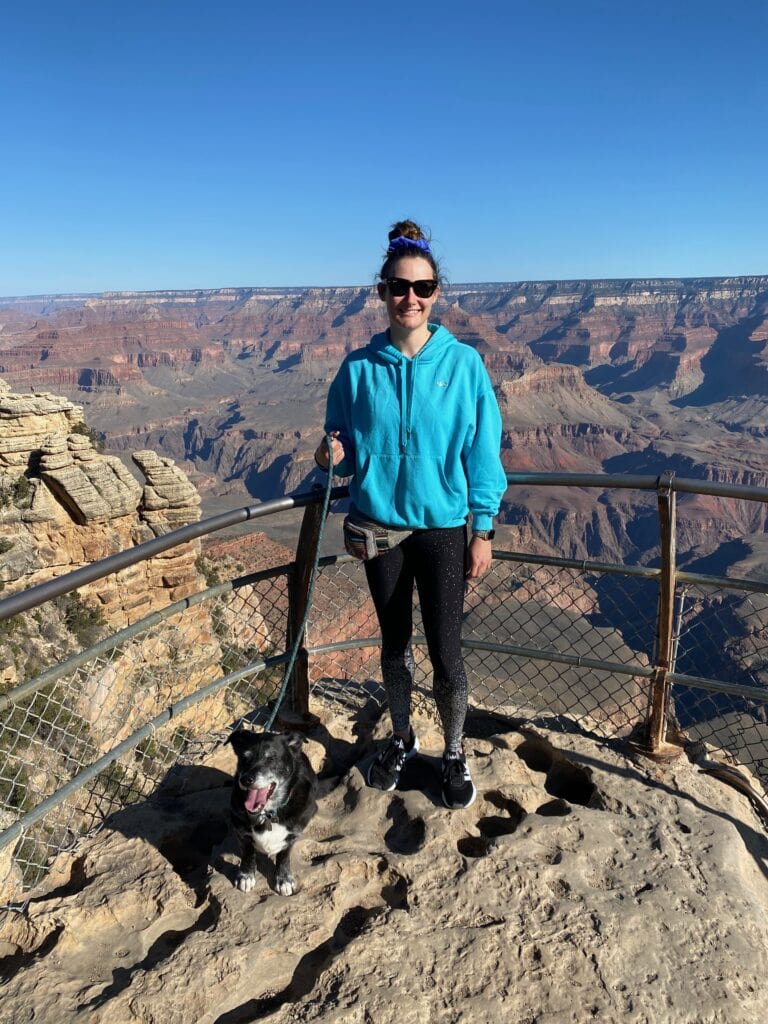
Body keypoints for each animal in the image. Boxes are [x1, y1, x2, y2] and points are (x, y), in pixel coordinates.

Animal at [225, 729, 319, 897]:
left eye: (271, 758)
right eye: (244, 758)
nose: (245, 779)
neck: (267, 813)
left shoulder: (292, 836)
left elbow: (283, 856)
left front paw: (284, 879)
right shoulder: (242, 833)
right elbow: (248, 854)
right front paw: (246, 876)